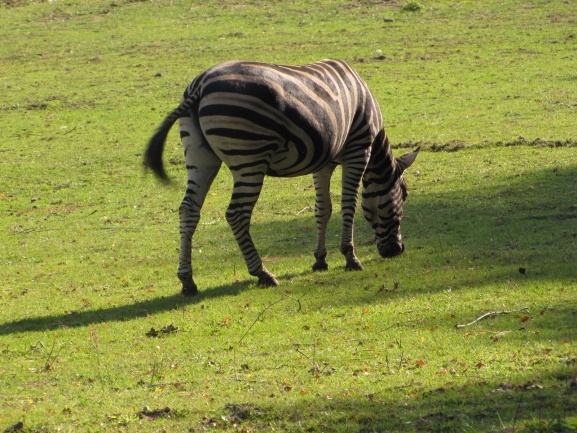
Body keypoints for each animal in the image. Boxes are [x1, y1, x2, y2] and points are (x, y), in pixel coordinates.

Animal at [142, 59, 416, 296]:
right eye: (403, 195)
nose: (398, 250)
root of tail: (200, 84)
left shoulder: (324, 162)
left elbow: (323, 209)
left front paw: (320, 260)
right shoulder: (358, 150)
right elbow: (348, 205)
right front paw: (351, 258)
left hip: (200, 155)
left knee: (188, 210)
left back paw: (188, 281)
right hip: (248, 158)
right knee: (236, 214)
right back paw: (262, 273)